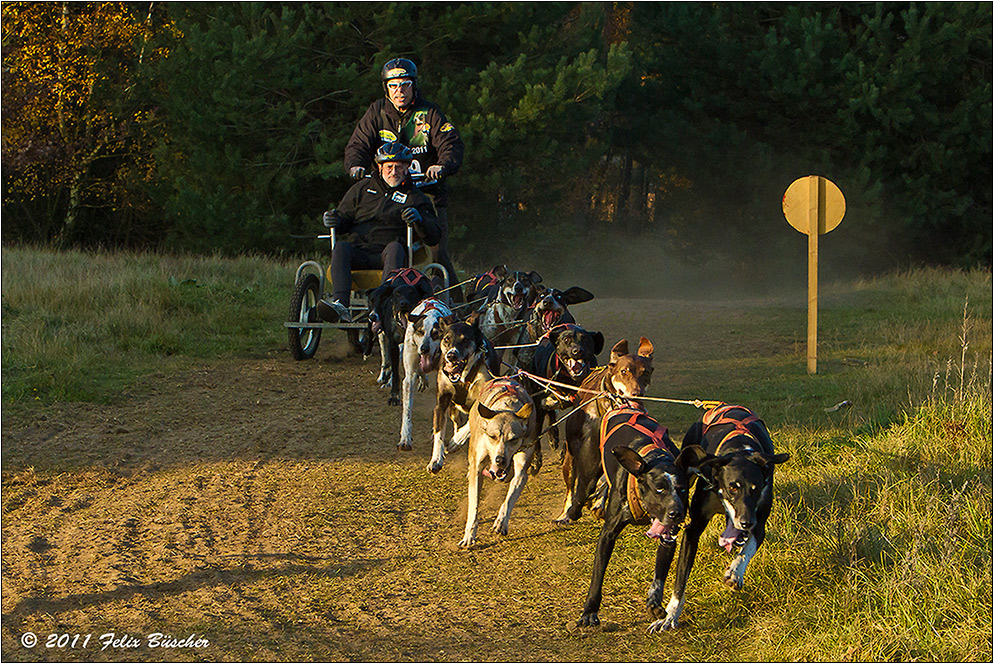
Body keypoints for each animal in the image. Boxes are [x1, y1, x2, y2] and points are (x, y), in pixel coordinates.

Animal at [360, 268, 430, 404]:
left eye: (412, 293)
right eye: (397, 294)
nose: (404, 303)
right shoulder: (393, 343)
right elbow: (395, 369)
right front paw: (394, 395)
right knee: (383, 354)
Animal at [572, 404, 704, 628]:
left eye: (683, 489)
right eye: (659, 489)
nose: (676, 513)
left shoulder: (668, 539)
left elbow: (659, 576)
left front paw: (654, 602)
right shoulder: (608, 535)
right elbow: (597, 576)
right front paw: (590, 611)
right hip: (586, 479)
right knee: (580, 495)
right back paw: (571, 512)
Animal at [644, 404, 792, 632]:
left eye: (756, 488)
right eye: (733, 487)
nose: (746, 522)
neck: (741, 449)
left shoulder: (759, 523)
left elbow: (747, 549)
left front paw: (735, 572)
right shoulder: (693, 528)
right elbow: (680, 580)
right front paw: (670, 615)